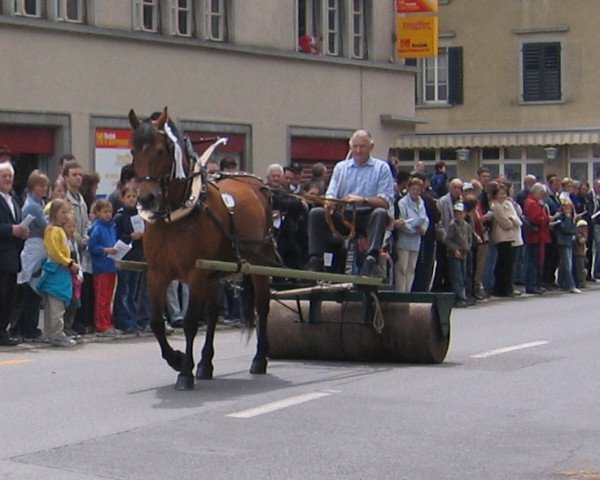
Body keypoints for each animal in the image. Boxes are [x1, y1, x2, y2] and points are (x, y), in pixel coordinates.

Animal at [129, 108, 276, 390]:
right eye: (133, 151)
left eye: (161, 150)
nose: (146, 199)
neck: (175, 215)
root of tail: (259, 184)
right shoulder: (157, 274)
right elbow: (156, 323)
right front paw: (177, 359)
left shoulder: (195, 273)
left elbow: (189, 323)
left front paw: (185, 371)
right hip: (213, 273)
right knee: (213, 314)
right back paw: (206, 364)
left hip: (260, 262)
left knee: (262, 307)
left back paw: (259, 359)